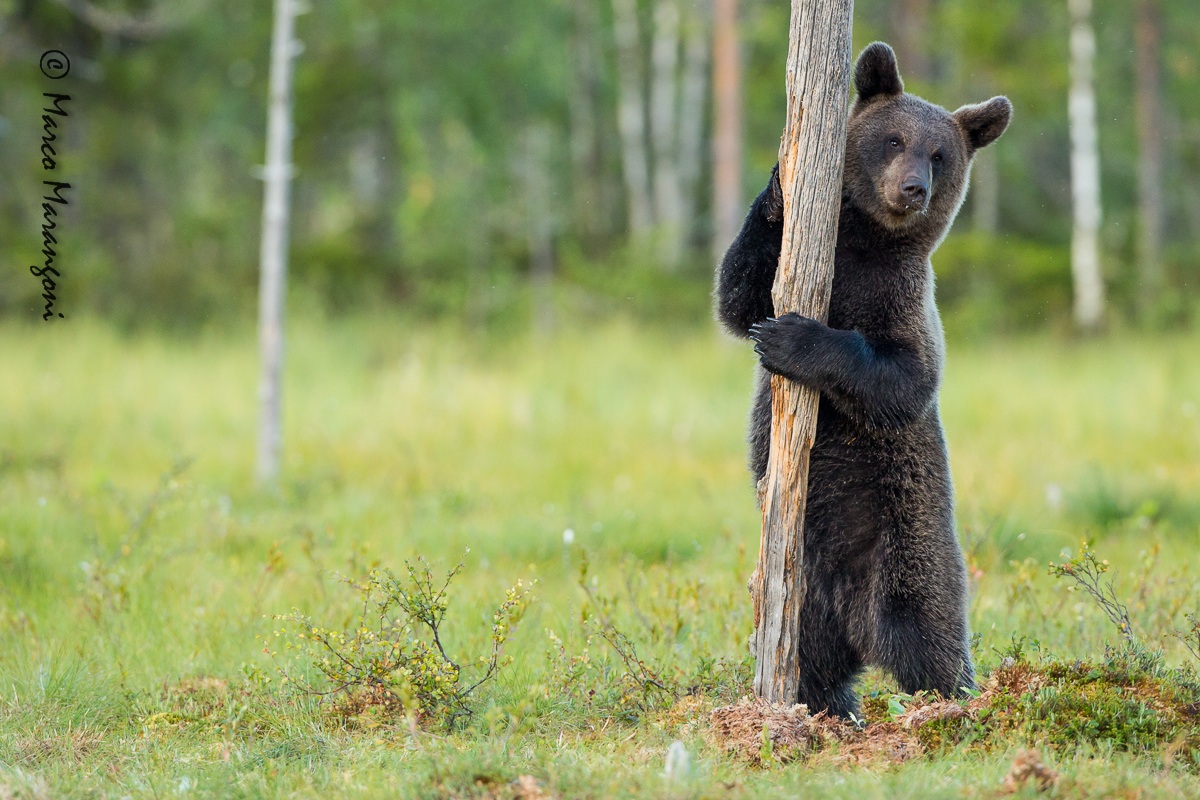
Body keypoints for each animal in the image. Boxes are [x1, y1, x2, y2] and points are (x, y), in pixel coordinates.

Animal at [714, 41, 1012, 718]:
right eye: (894, 139)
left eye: (939, 153)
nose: (913, 187)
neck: (862, 244)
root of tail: (858, 625)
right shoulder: (804, 269)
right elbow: (737, 294)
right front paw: (780, 185)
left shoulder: (902, 301)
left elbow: (902, 378)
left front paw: (791, 338)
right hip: (803, 590)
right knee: (812, 660)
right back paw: (818, 706)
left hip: (911, 548)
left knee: (930, 639)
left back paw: (954, 701)